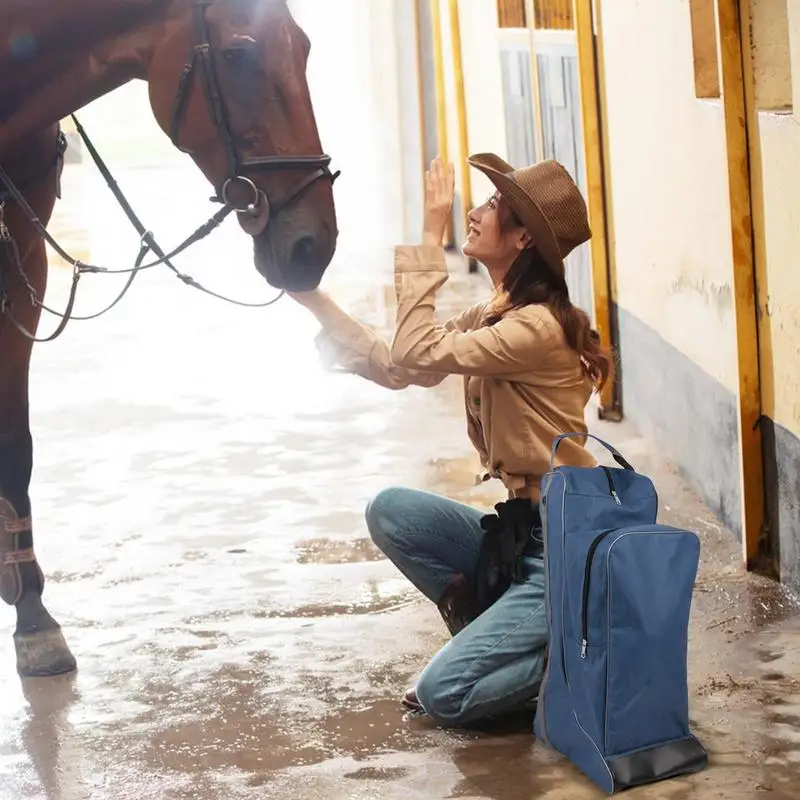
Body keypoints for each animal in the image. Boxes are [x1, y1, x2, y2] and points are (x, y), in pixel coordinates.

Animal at [0, 0, 340, 680]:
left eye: (306, 47)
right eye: (236, 53)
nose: (313, 244)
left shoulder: (24, 260)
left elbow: (14, 445)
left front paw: (32, 617)